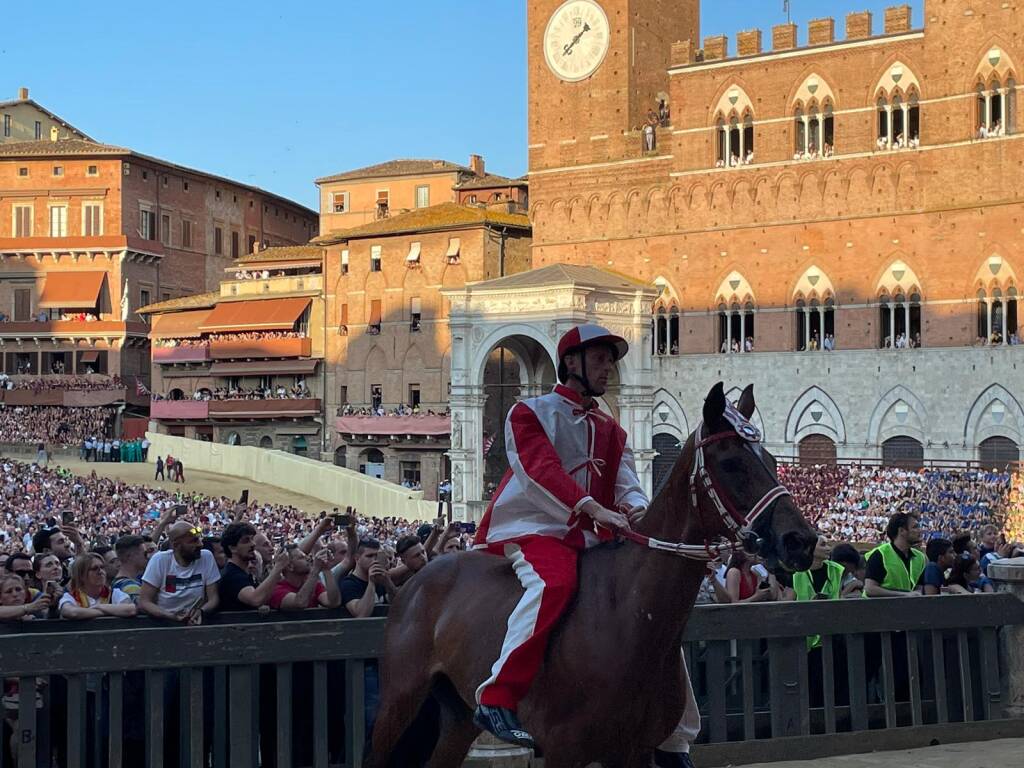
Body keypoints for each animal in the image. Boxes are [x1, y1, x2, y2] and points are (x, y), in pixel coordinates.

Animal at [368, 385, 815, 768]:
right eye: (731, 462)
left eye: (771, 460)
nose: (801, 540)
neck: (628, 614)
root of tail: (420, 581)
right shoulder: (564, 750)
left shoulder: (634, 751)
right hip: (397, 705)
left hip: (458, 718)